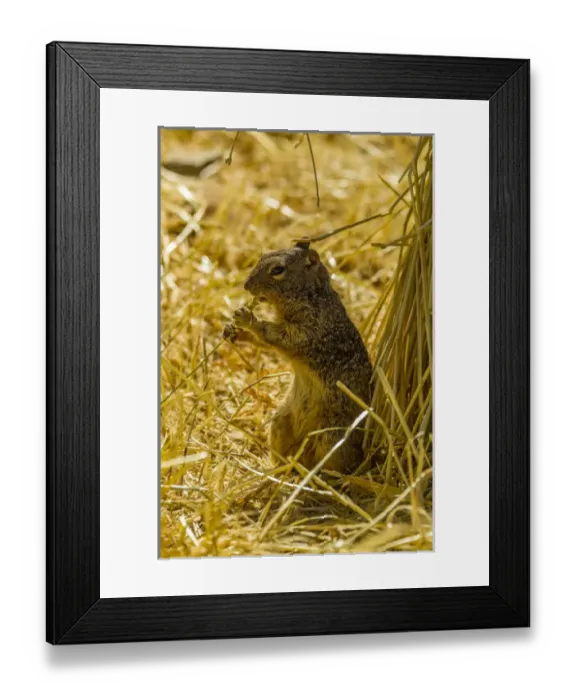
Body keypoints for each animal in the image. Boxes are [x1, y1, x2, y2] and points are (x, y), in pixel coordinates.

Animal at [223, 243, 372, 473]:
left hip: (331, 437)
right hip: (280, 423)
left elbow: (274, 335)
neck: (312, 296)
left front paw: (247, 319)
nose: (247, 286)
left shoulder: (307, 330)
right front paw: (237, 332)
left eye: (278, 270)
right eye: (263, 255)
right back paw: (279, 469)